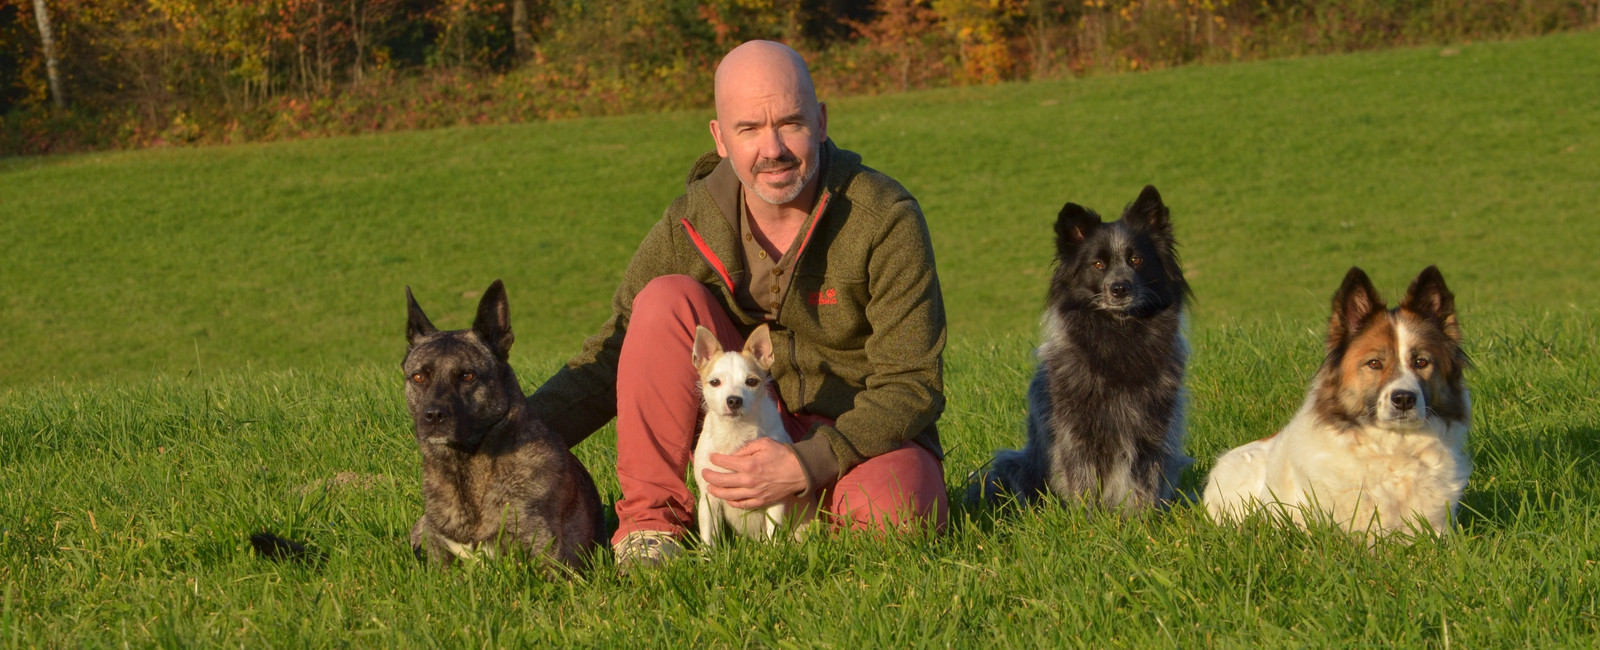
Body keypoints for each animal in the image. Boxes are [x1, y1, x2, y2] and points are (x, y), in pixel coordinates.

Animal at [403, 278, 601, 569]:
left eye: (467, 376)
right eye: (418, 377)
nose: (433, 416)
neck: (466, 468)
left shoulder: (547, 557)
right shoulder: (438, 558)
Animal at [691, 325, 819, 547]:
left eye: (751, 382)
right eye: (715, 382)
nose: (734, 400)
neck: (735, 432)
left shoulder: (775, 497)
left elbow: (772, 530)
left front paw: (773, 552)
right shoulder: (708, 498)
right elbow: (708, 534)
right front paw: (708, 554)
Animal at [960, 186, 1190, 512]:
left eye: (1136, 260)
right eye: (1098, 264)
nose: (1120, 289)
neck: (1118, 335)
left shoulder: (1154, 430)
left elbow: (1145, 485)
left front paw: (1142, 521)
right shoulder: (1076, 433)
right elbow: (1082, 483)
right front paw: (1089, 520)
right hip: (1011, 465)